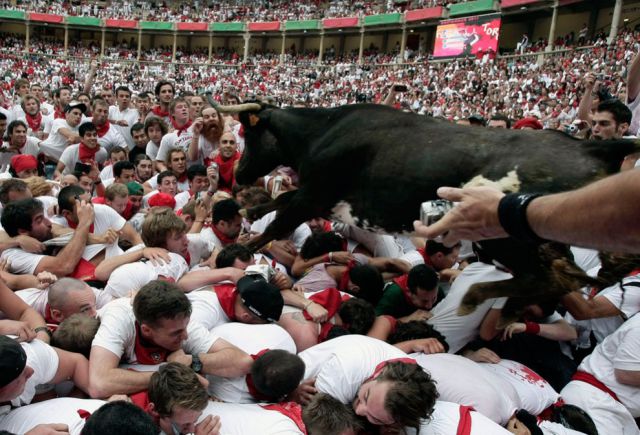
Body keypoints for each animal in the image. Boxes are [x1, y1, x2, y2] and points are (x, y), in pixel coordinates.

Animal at [216, 102, 640, 320]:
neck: (322, 131)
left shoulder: (316, 193)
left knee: (551, 278)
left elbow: (277, 224)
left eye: (249, 133)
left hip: (505, 238)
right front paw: (251, 212)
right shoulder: (320, 197)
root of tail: (593, 147)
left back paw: (479, 298)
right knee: (564, 277)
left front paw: (241, 248)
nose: (239, 173)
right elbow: (280, 204)